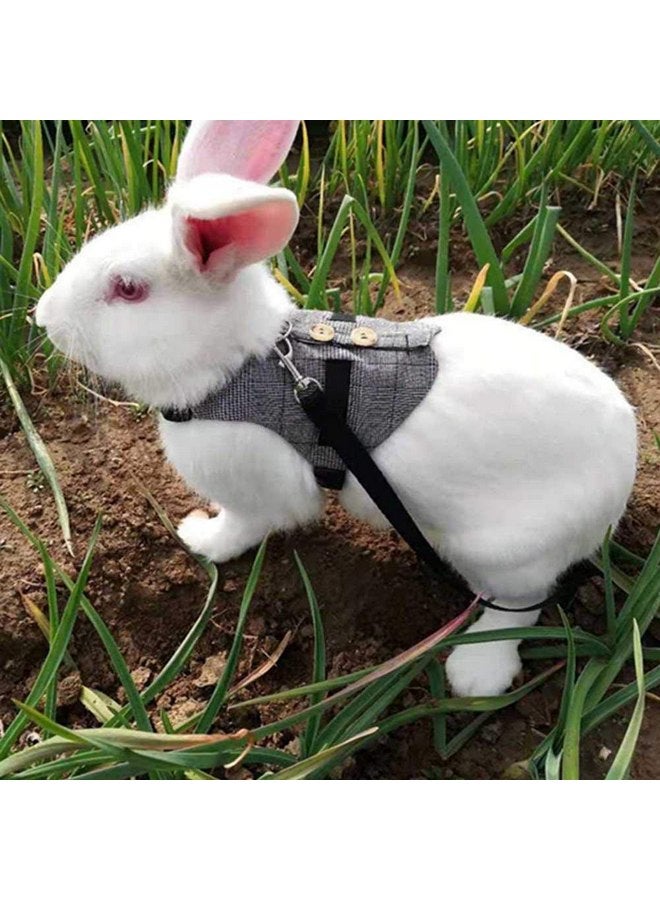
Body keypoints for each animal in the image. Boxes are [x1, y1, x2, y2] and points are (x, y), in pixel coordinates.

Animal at [35, 120, 637, 698]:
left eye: (128, 289)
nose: (43, 318)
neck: (243, 363)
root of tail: (623, 473)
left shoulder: (258, 492)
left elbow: (245, 526)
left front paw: (201, 540)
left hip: (505, 553)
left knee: (516, 606)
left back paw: (475, 674)